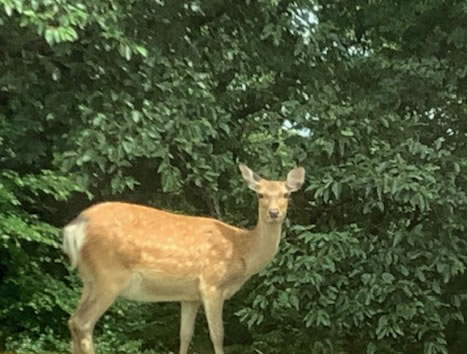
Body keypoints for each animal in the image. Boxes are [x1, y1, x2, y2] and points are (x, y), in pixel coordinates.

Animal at [63, 164, 304, 354]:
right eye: (260, 194)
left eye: (286, 195)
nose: (274, 213)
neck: (240, 250)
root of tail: (74, 227)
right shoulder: (211, 284)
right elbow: (218, 335)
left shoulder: (189, 296)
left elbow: (185, 334)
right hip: (109, 275)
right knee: (83, 323)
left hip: (89, 279)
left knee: (72, 320)